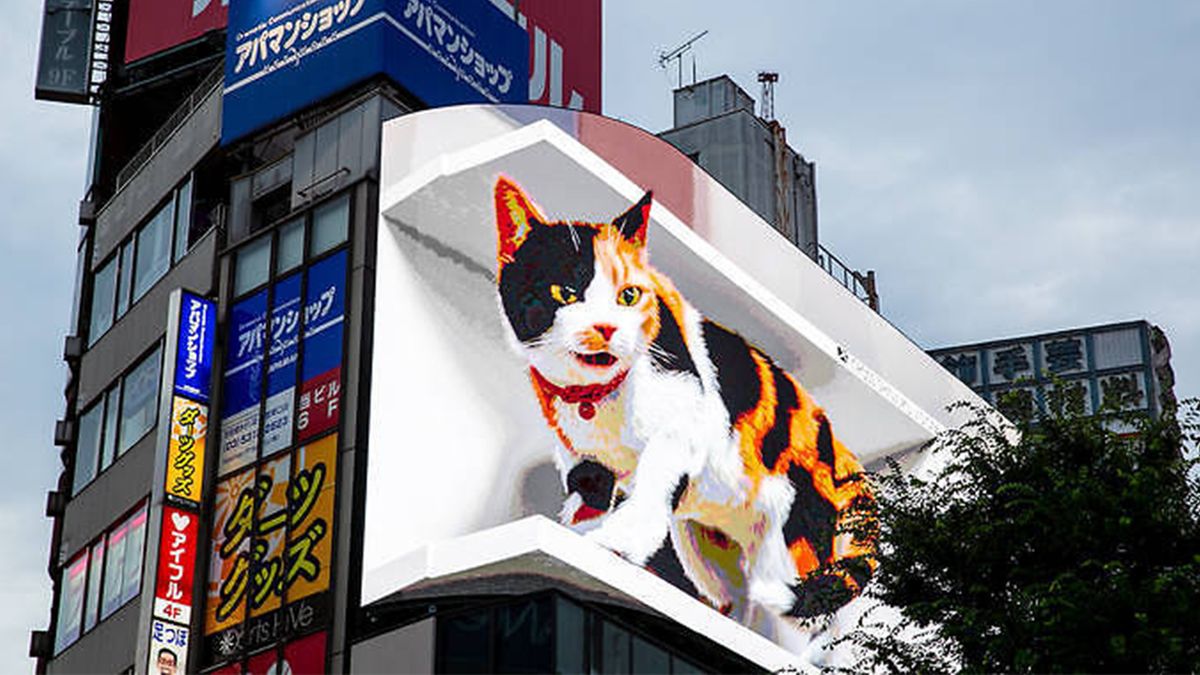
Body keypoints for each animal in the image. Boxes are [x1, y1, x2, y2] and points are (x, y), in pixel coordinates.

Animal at [492, 176, 878, 619]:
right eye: (565, 292)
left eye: (628, 295)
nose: (606, 328)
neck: (597, 400)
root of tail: (841, 453)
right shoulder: (578, 452)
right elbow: (587, 486)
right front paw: (580, 530)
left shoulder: (688, 419)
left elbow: (656, 474)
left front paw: (621, 540)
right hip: (705, 545)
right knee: (732, 594)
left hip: (793, 532)